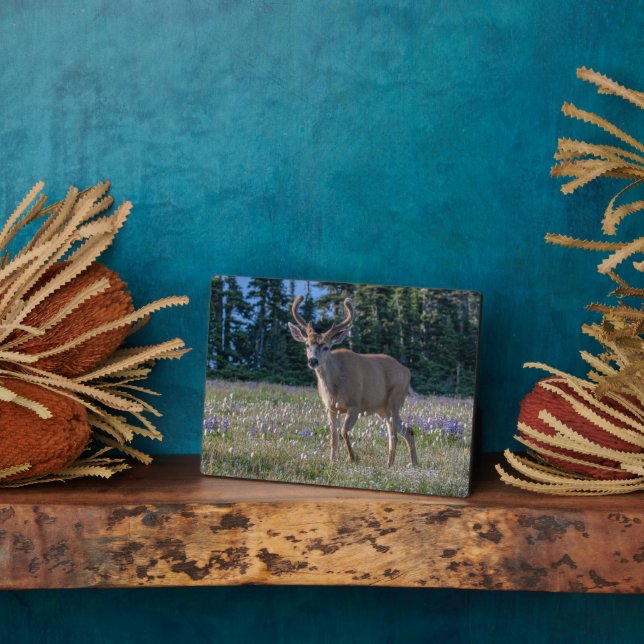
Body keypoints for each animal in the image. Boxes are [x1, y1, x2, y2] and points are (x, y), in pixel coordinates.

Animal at [288, 296, 418, 468]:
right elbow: (333, 437)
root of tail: (407, 371)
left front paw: (353, 458)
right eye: (307, 344)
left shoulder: (355, 404)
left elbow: (344, 432)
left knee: (394, 434)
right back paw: (410, 463)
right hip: (381, 408)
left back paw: (391, 465)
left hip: (395, 400)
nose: (313, 361)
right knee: (406, 429)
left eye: (326, 347)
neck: (334, 388)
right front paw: (332, 462)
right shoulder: (330, 408)